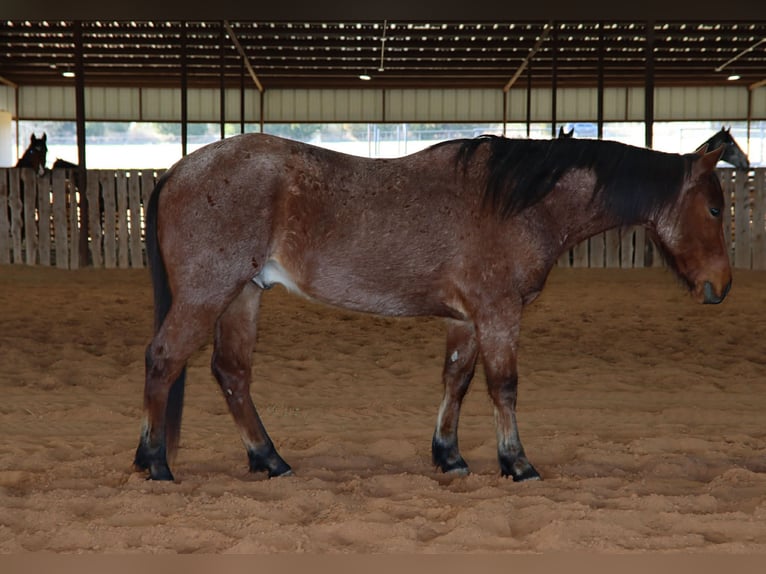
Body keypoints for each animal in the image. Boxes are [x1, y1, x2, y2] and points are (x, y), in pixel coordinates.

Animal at [133, 133, 732, 483]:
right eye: (715, 208)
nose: (721, 286)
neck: (519, 200)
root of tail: (177, 171)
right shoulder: (498, 313)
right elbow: (503, 387)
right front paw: (516, 462)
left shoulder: (464, 320)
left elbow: (457, 382)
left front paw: (450, 455)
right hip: (208, 294)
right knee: (163, 360)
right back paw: (156, 462)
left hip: (244, 295)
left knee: (232, 373)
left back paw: (268, 459)